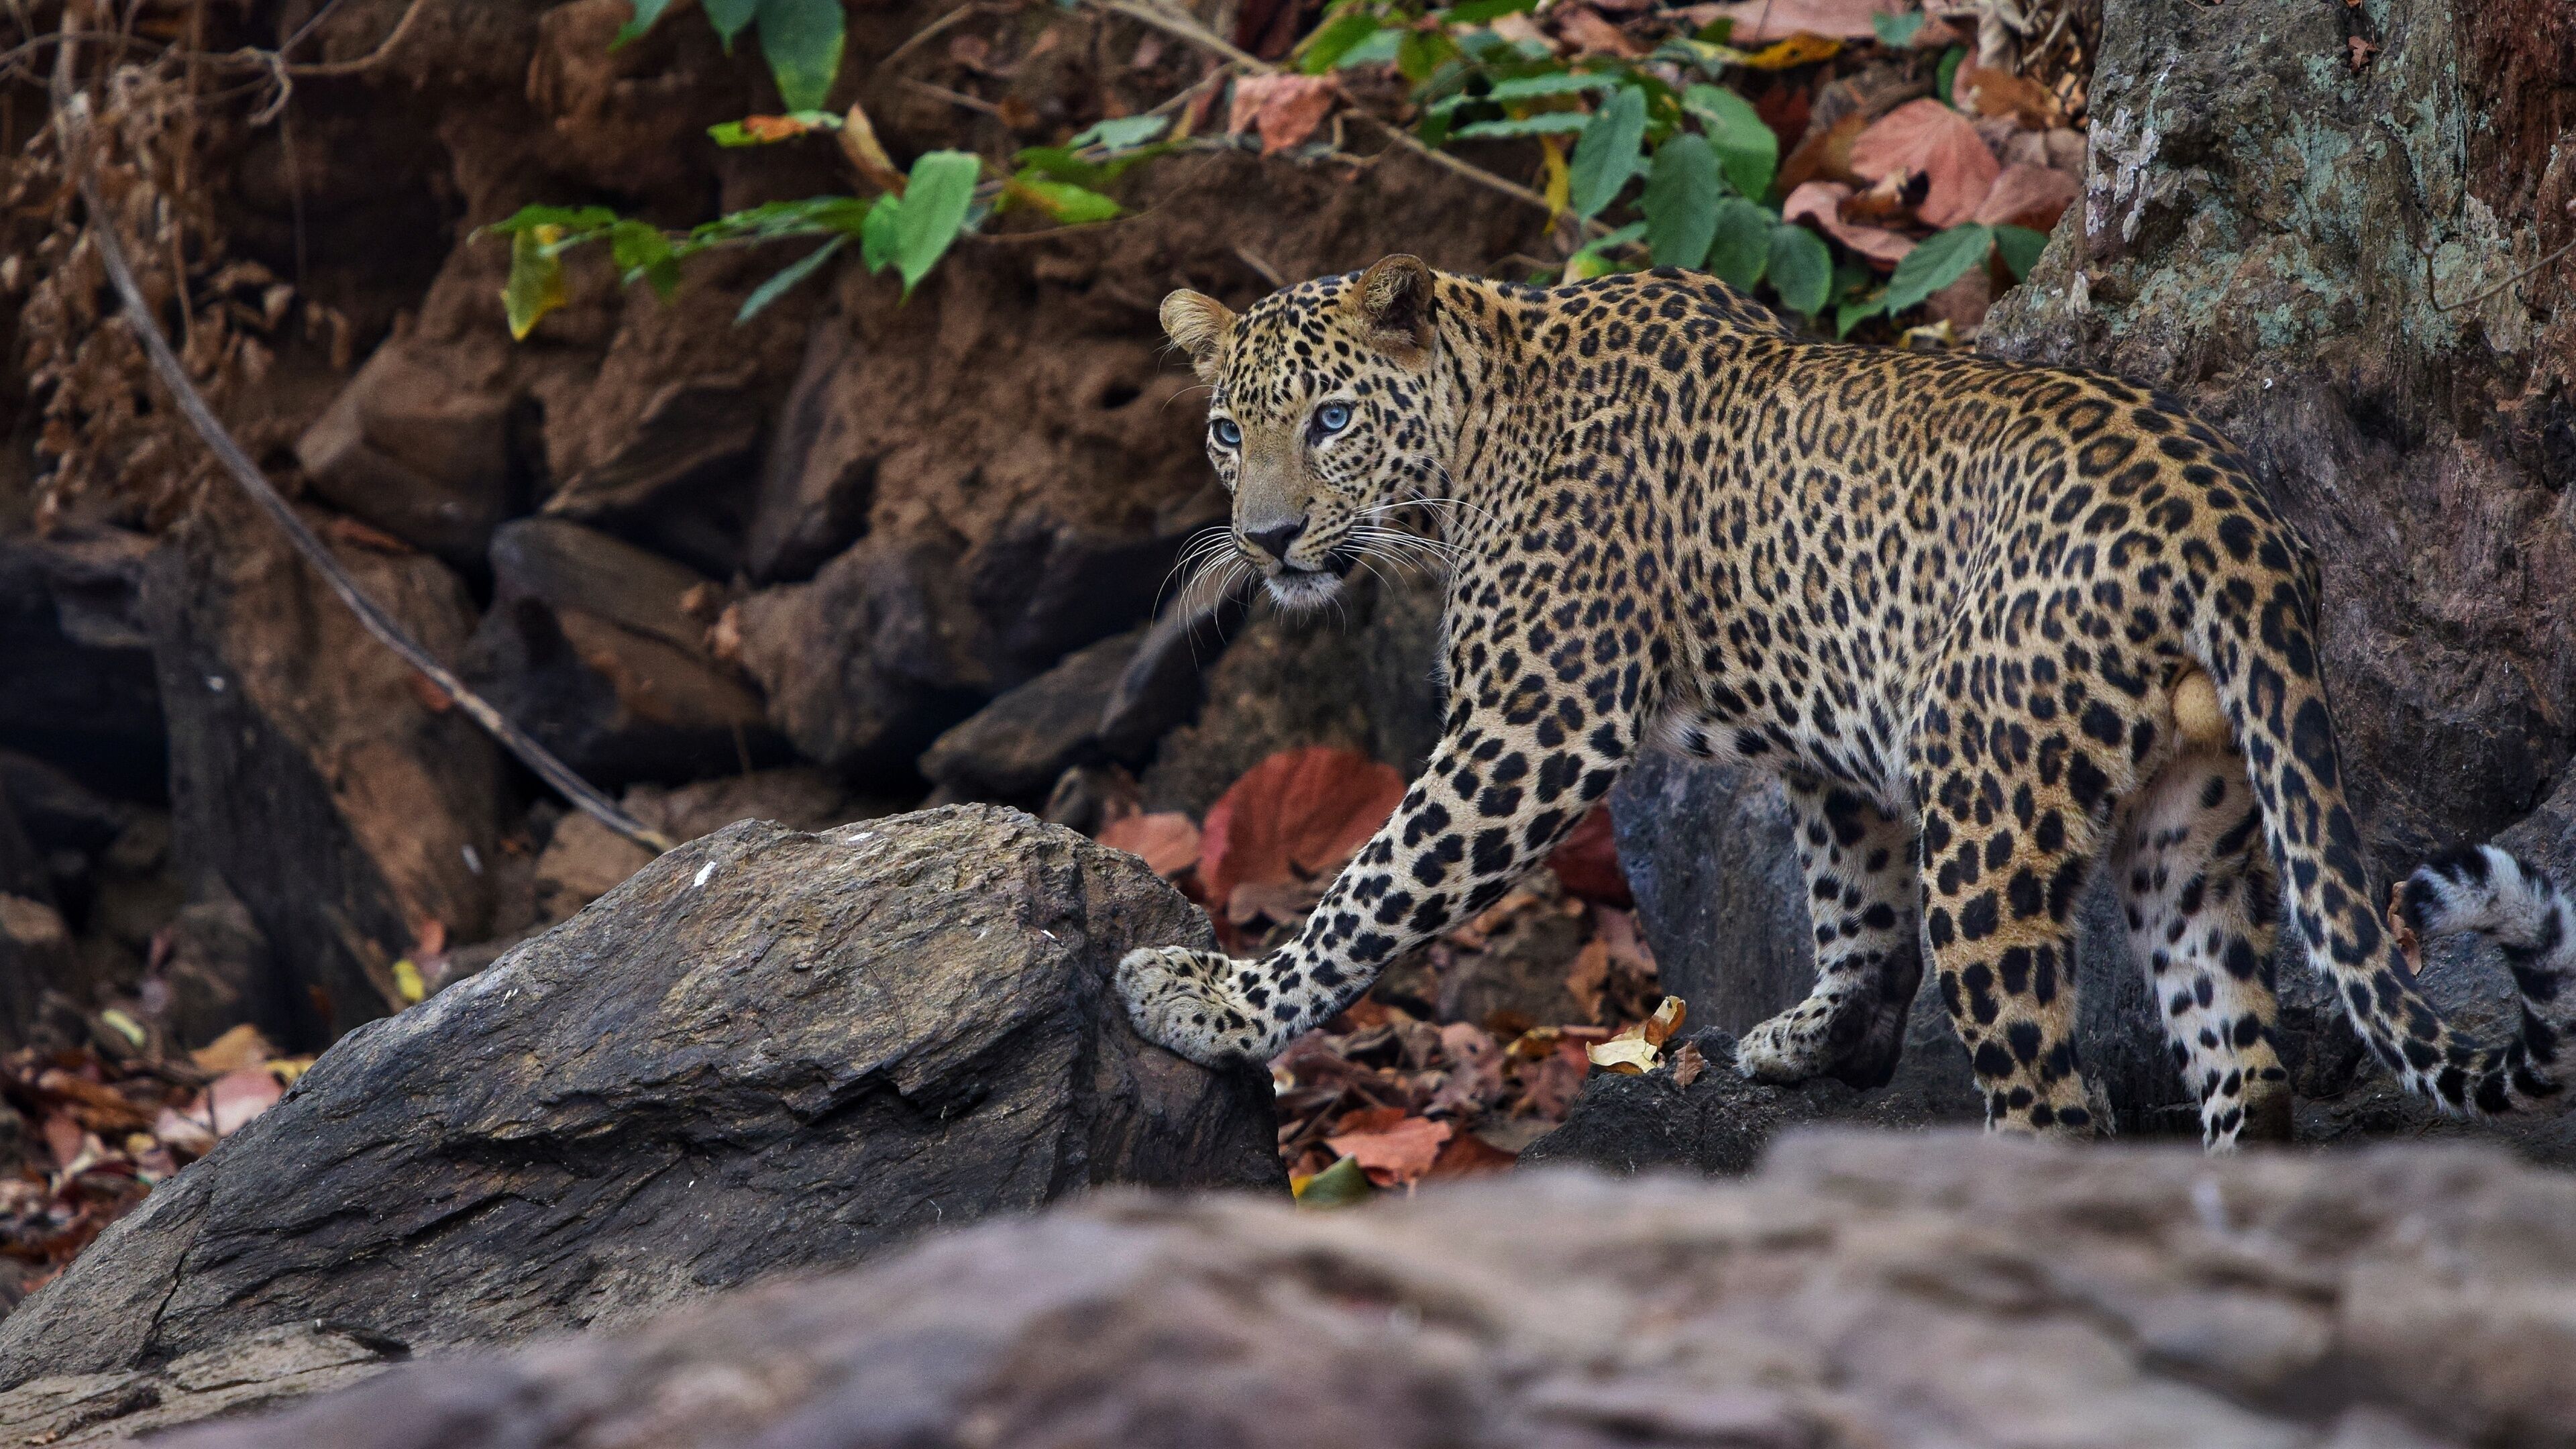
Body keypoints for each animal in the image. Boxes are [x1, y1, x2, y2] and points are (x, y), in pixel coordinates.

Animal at [1116, 255, 2575, 1149]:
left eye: (1334, 420)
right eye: (1228, 432)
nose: (1268, 542)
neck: (1475, 423)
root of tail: (2236, 525)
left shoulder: (1534, 726)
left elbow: (1365, 895)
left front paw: (1216, 1004)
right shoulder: (1828, 734)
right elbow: (1853, 901)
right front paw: (1810, 1036)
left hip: (1989, 811)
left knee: (2056, 1106)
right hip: (2195, 822)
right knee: (2241, 1065)